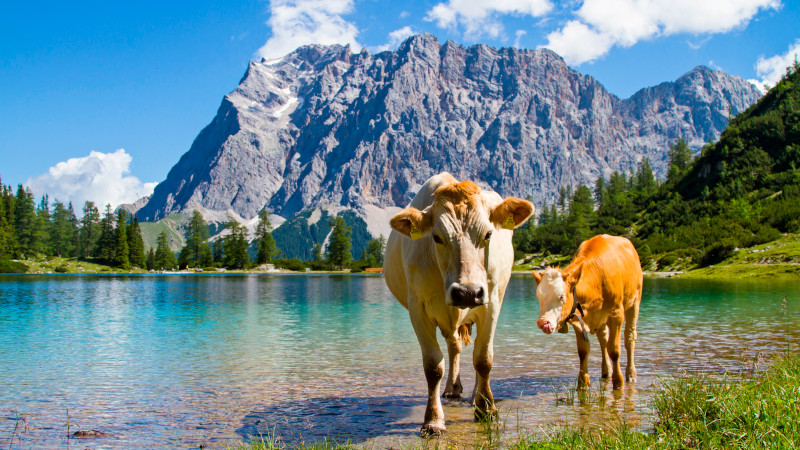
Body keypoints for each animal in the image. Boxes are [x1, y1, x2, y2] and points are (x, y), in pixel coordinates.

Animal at [384, 173, 536, 436]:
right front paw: (433, 420)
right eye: (436, 237)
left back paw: (476, 397)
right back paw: (452, 388)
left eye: (488, 234)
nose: (467, 292)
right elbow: (433, 366)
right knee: (454, 346)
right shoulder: (418, 309)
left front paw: (486, 410)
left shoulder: (490, 302)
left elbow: (483, 359)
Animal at [532, 234, 644, 388]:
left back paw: (631, 375)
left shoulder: (616, 313)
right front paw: (583, 383)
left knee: (630, 337)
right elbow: (583, 351)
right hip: (602, 319)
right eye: (539, 296)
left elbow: (614, 350)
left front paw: (618, 382)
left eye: (561, 296)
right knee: (603, 338)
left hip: (635, 301)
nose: (543, 322)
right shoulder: (578, 319)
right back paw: (606, 372)